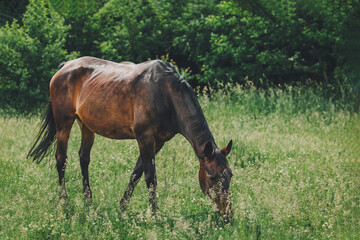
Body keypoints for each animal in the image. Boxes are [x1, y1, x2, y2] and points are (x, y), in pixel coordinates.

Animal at [27, 56, 233, 216]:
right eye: (212, 176)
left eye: (230, 175)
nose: (227, 214)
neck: (166, 94)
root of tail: (65, 67)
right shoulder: (144, 137)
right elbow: (150, 177)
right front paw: (154, 214)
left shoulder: (157, 142)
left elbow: (137, 172)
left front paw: (123, 206)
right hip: (64, 124)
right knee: (61, 160)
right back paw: (65, 204)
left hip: (86, 125)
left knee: (84, 158)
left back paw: (89, 201)